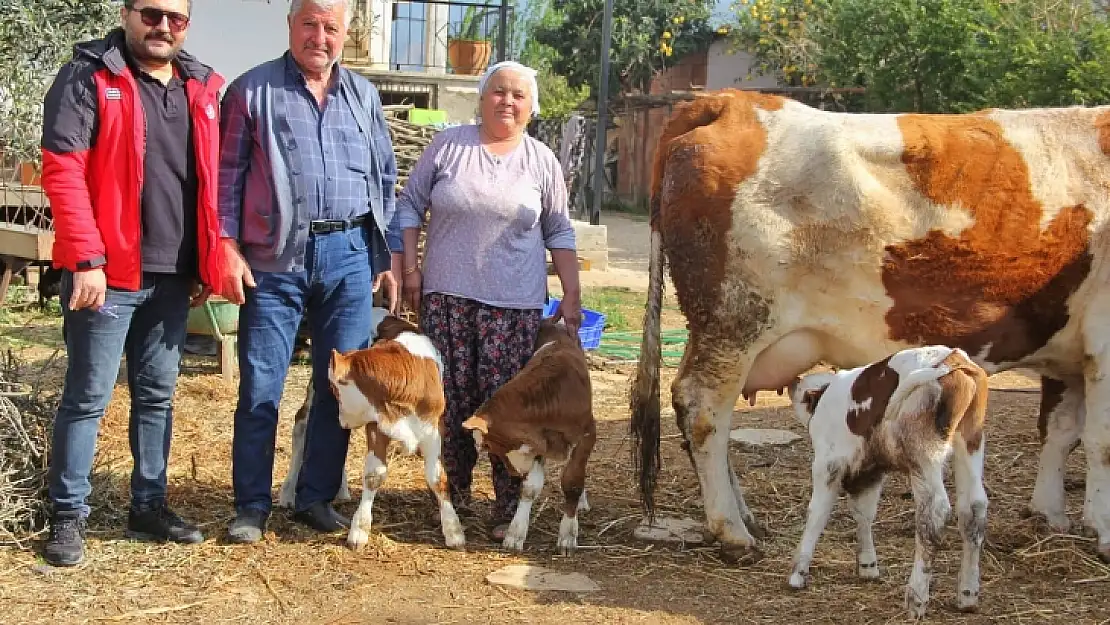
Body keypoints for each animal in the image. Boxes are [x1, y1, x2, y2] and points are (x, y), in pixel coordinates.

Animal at [461, 319, 599, 555]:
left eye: (488, 446)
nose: (513, 474)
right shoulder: (537, 445)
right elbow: (530, 488)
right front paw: (515, 534)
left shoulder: (588, 433)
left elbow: (572, 481)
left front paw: (567, 535)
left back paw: (581, 502)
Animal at [630, 90, 1110, 563]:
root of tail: (730, 101)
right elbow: (1100, 440)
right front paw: (1102, 531)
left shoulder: (1071, 353)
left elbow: (1060, 431)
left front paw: (1051, 515)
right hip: (735, 323)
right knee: (703, 409)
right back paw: (731, 531)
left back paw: (744, 517)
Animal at [781, 346, 990, 621]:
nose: (791, 382)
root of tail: (952, 357)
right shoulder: (870, 470)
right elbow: (864, 513)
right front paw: (868, 566)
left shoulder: (828, 464)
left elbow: (817, 513)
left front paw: (798, 572)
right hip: (970, 441)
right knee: (973, 509)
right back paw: (967, 595)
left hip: (924, 453)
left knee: (934, 513)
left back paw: (916, 598)